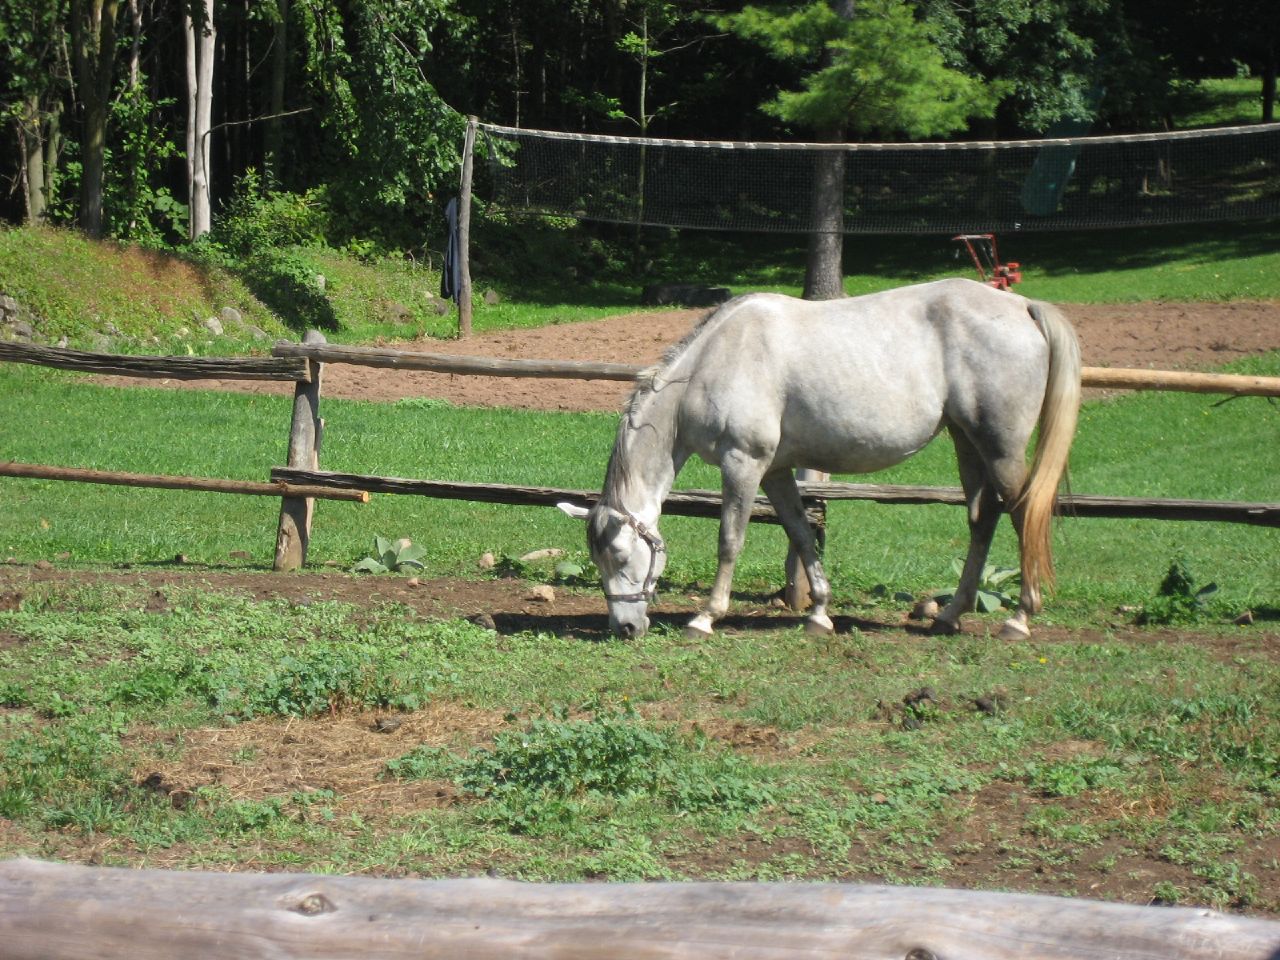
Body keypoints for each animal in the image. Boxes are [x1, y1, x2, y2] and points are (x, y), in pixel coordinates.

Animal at [560, 273, 1080, 642]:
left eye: (619, 555)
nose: (625, 628)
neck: (714, 363)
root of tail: (1022, 307)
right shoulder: (775, 471)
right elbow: (801, 533)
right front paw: (818, 613)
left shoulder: (743, 463)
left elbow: (730, 539)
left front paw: (706, 617)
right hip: (966, 441)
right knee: (982, 517)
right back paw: (950, 616)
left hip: (1000, 448)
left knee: (1021, 513)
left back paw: (1019, 619)